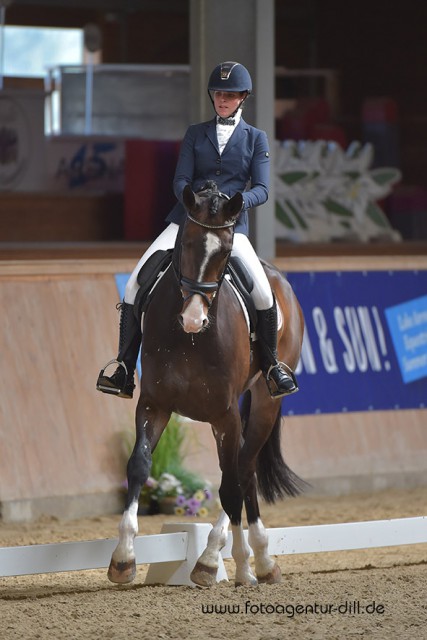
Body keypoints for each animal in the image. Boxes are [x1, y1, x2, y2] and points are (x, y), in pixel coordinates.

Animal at [108, 182, 306, 588]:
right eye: (186, 244)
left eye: (226, 251)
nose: (193, 319)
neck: (191, 341)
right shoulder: (154, 404)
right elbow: (138, 465)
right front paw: (123, 558)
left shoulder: (226, 414)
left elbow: (229, 485)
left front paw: (214, 562)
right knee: (244, 473)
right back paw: (255, 563)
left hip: (265, 402)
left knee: (243, 470)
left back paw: (253, 560)